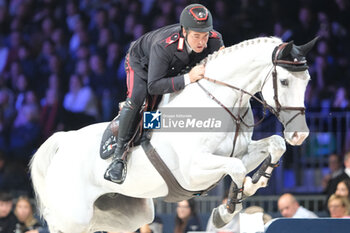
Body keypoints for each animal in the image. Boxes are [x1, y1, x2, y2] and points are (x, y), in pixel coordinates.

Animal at [30, 36, 316, 233]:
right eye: (284, 82)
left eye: (308, 81)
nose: (300, 135)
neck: (220, 101)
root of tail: (64, 140)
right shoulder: (193, 172)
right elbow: (235, 168)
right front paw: (227, 211)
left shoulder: (242, 152)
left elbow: (274, 145)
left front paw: (254, 183)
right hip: (74, 217)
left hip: (126, 215)